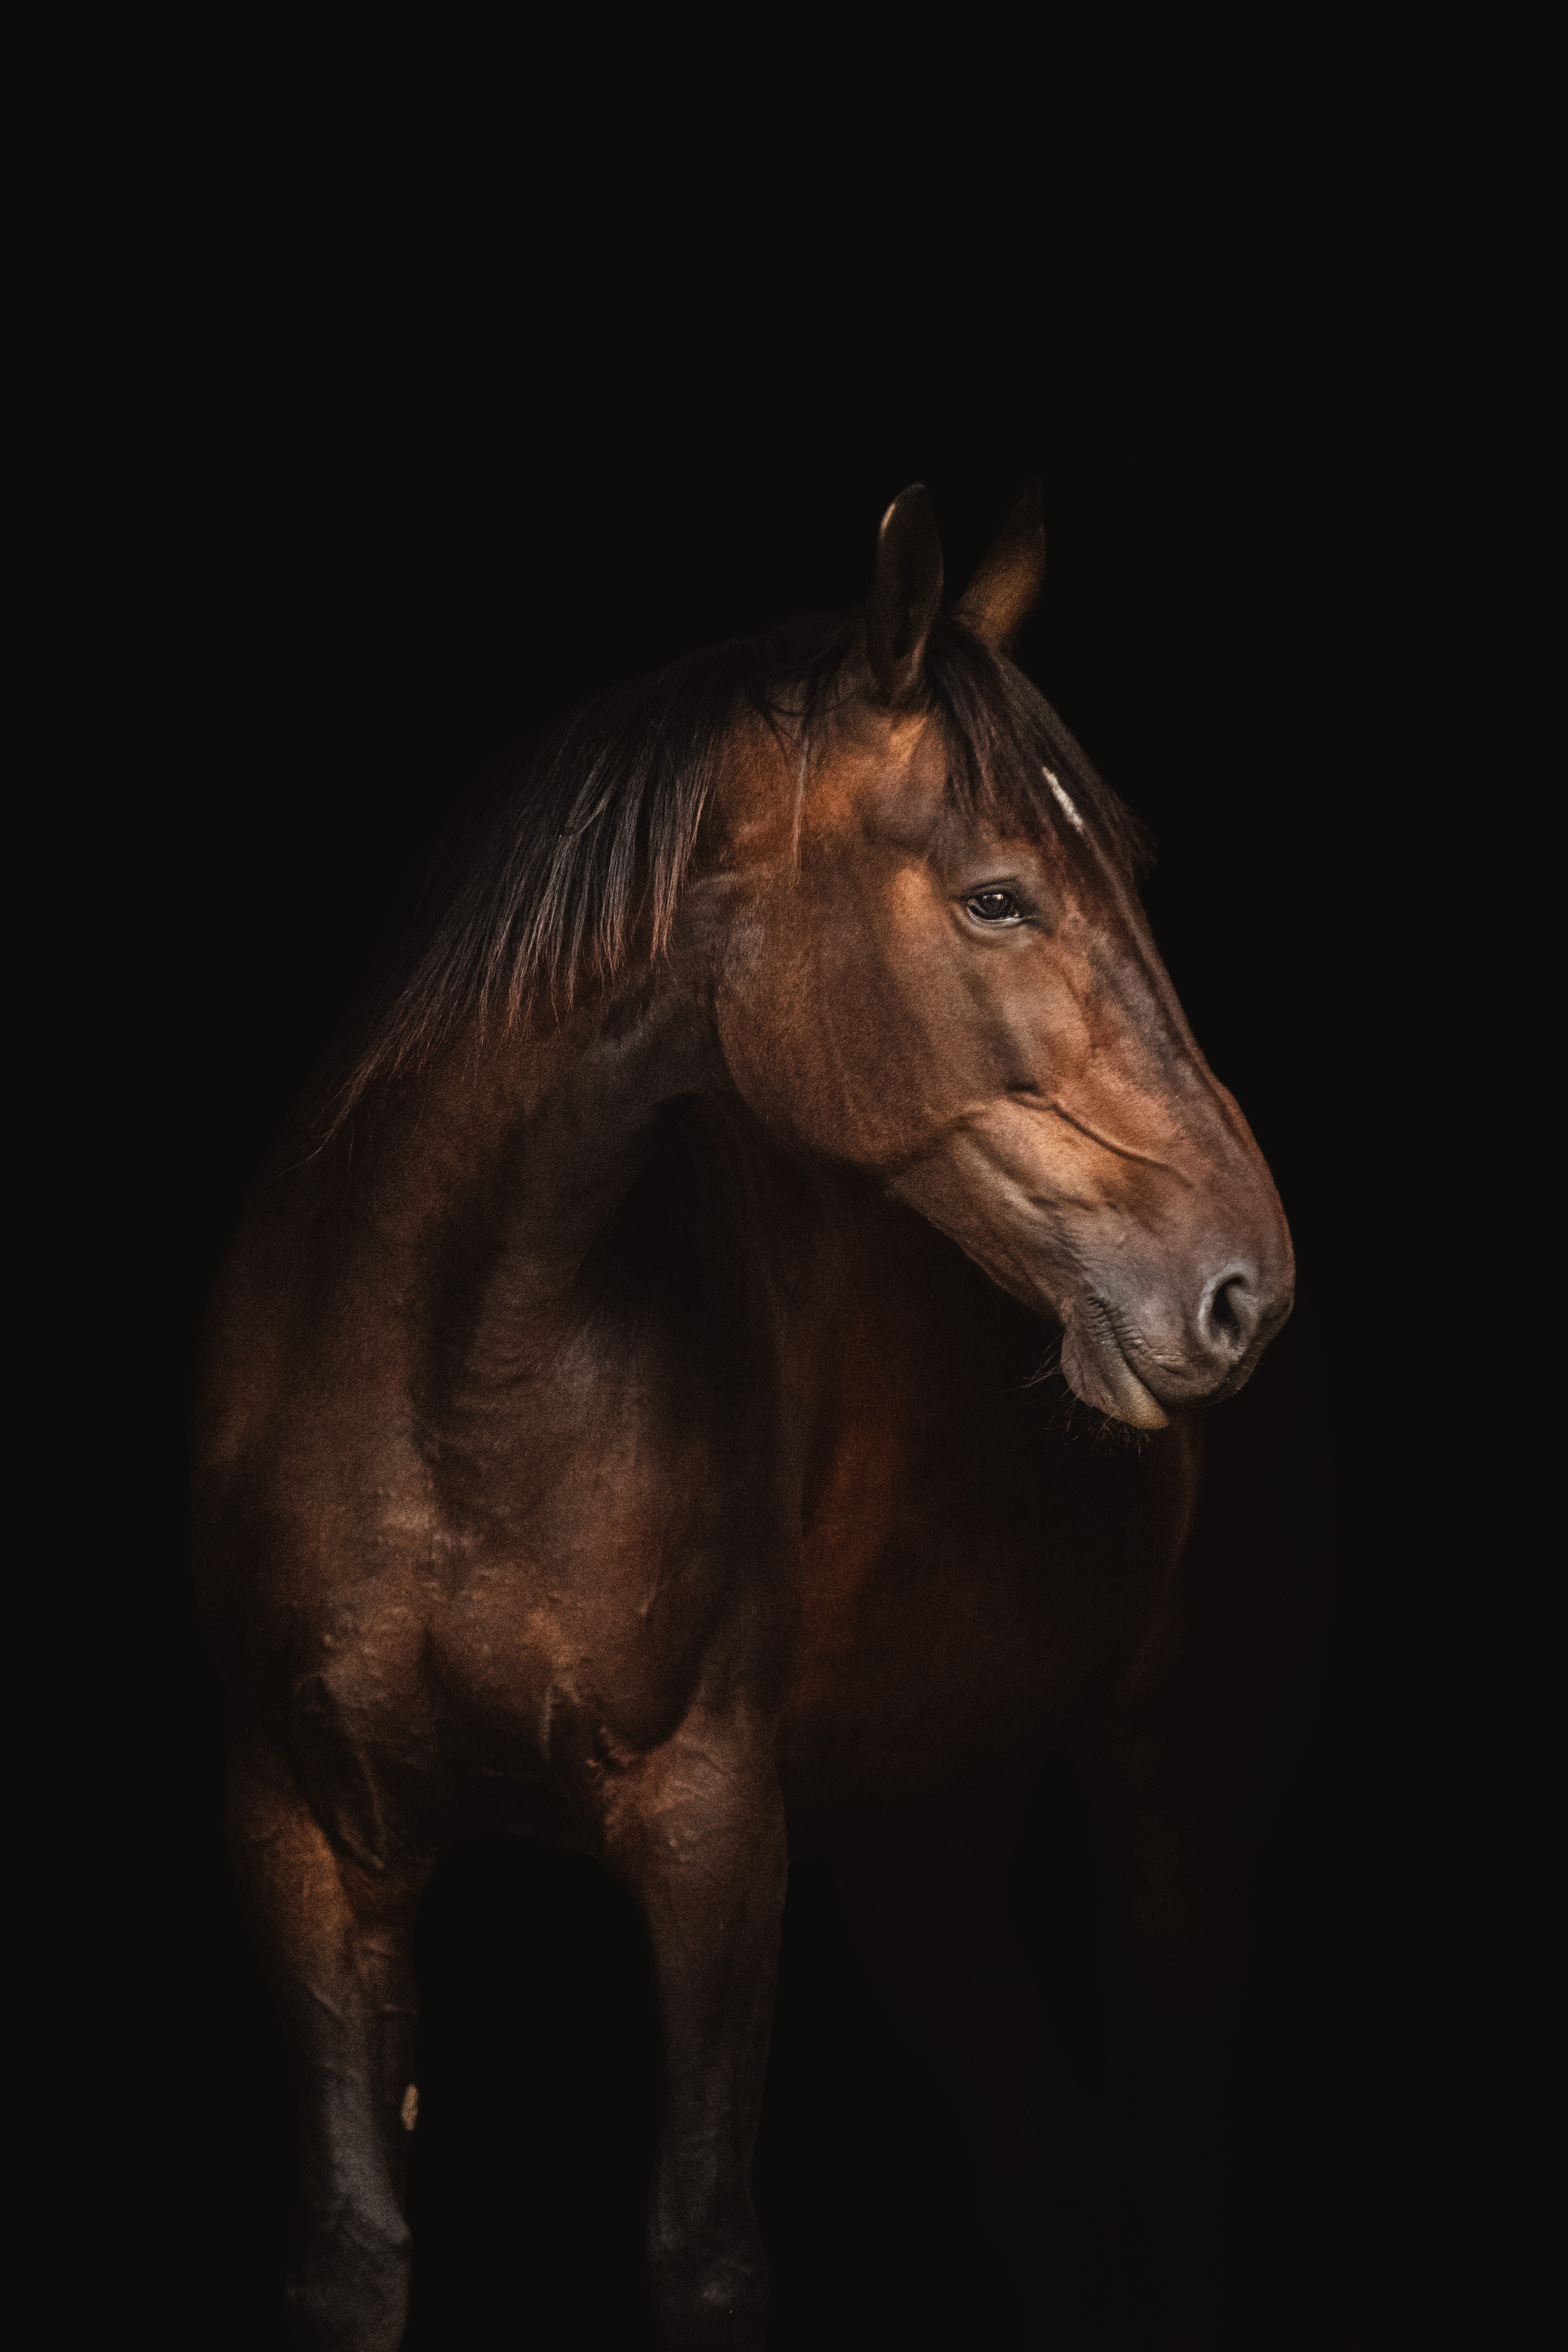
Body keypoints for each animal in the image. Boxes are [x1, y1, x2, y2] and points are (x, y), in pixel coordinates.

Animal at [192, 480, 1298, 2349]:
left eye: (1132, 879)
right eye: (999, 897)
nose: (1244, 1286)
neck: (453, 1392)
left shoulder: (711, 1830)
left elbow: (702, 2248)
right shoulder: (305, 1835)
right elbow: (351, 2245)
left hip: (1170, 1765)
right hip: (924, 1831)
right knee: (1049, 2154)